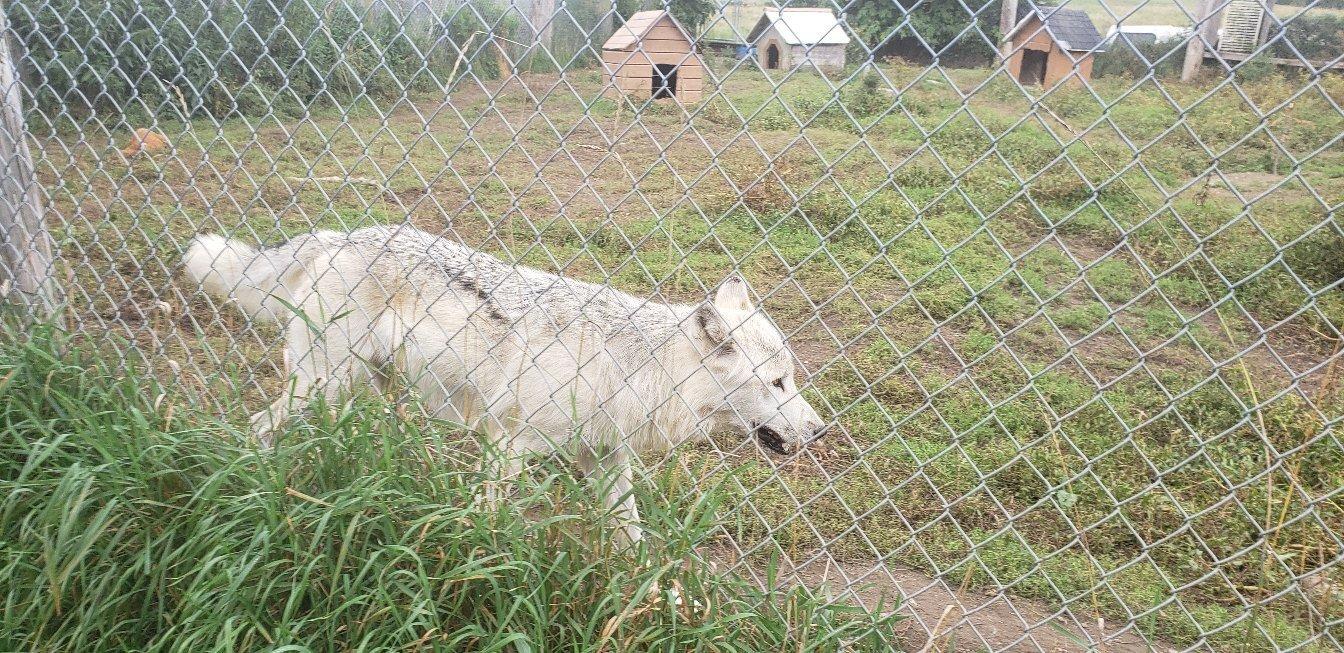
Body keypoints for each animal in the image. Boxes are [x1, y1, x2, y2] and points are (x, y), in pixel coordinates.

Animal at [184, 224, 822, 540]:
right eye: (778, 383)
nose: (819, 432)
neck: (636, 369)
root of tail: (336, 234)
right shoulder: (505, 446)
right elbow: (488, 521)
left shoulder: (605, 460)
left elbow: (635, 541)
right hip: (323, 384)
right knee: (258, 425)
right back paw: (261, 484)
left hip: (358, 390)